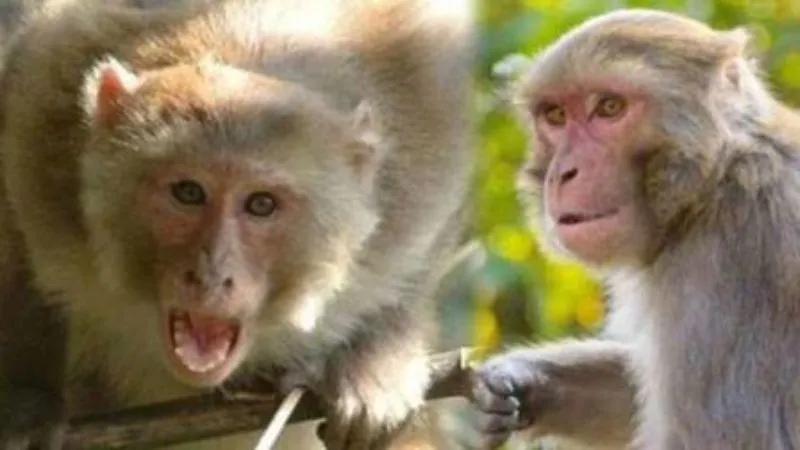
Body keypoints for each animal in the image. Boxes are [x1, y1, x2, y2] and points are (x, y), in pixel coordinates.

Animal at [0, 0, 475, 448]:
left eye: (261, 204)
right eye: (189, 192)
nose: (212, 276)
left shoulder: (419, 146)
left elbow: (430, 239)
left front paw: (375, 363)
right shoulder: (43, 119)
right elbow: (17, 231)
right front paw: (28, 398)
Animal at [470, 8, 800, 450]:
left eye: (609, 107)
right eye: (555, 115)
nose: (564, 173)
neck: (711, 186)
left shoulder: (738, 257)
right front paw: (517, 381)